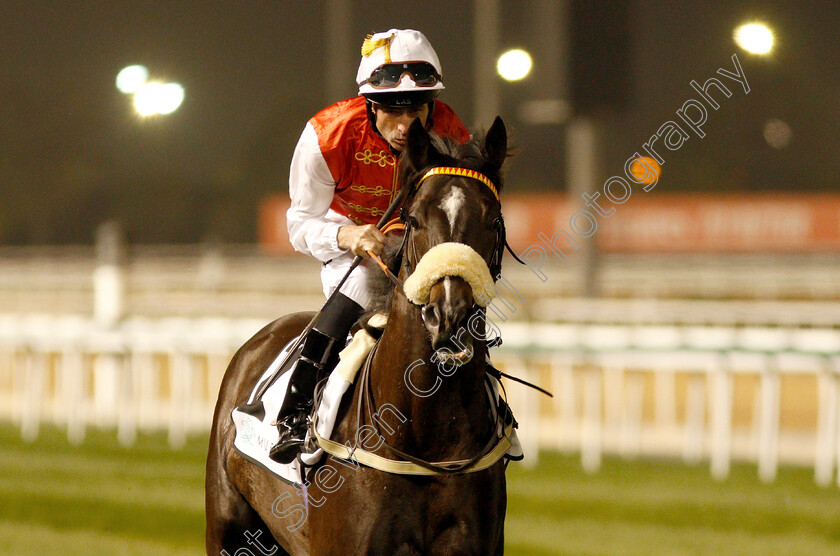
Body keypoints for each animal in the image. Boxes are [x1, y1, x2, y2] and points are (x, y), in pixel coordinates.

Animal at [207, 115, 516, 552]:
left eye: (494, 221)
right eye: (414, 219)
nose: (448, 316)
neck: (426, 437)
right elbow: (302, 216)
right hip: (225, 526)